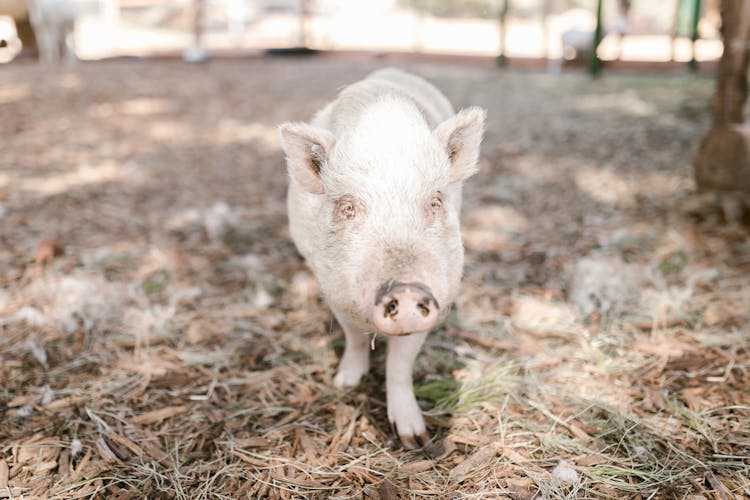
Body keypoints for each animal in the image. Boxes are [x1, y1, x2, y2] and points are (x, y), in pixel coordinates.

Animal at [278, 67, 488, 450]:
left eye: (435, 202)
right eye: (347, 206)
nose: (405, 290)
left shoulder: (440, 294)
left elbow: (400, 364)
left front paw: (415, 440)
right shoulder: (332, 288)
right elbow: (355, 338)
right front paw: (344, 384)